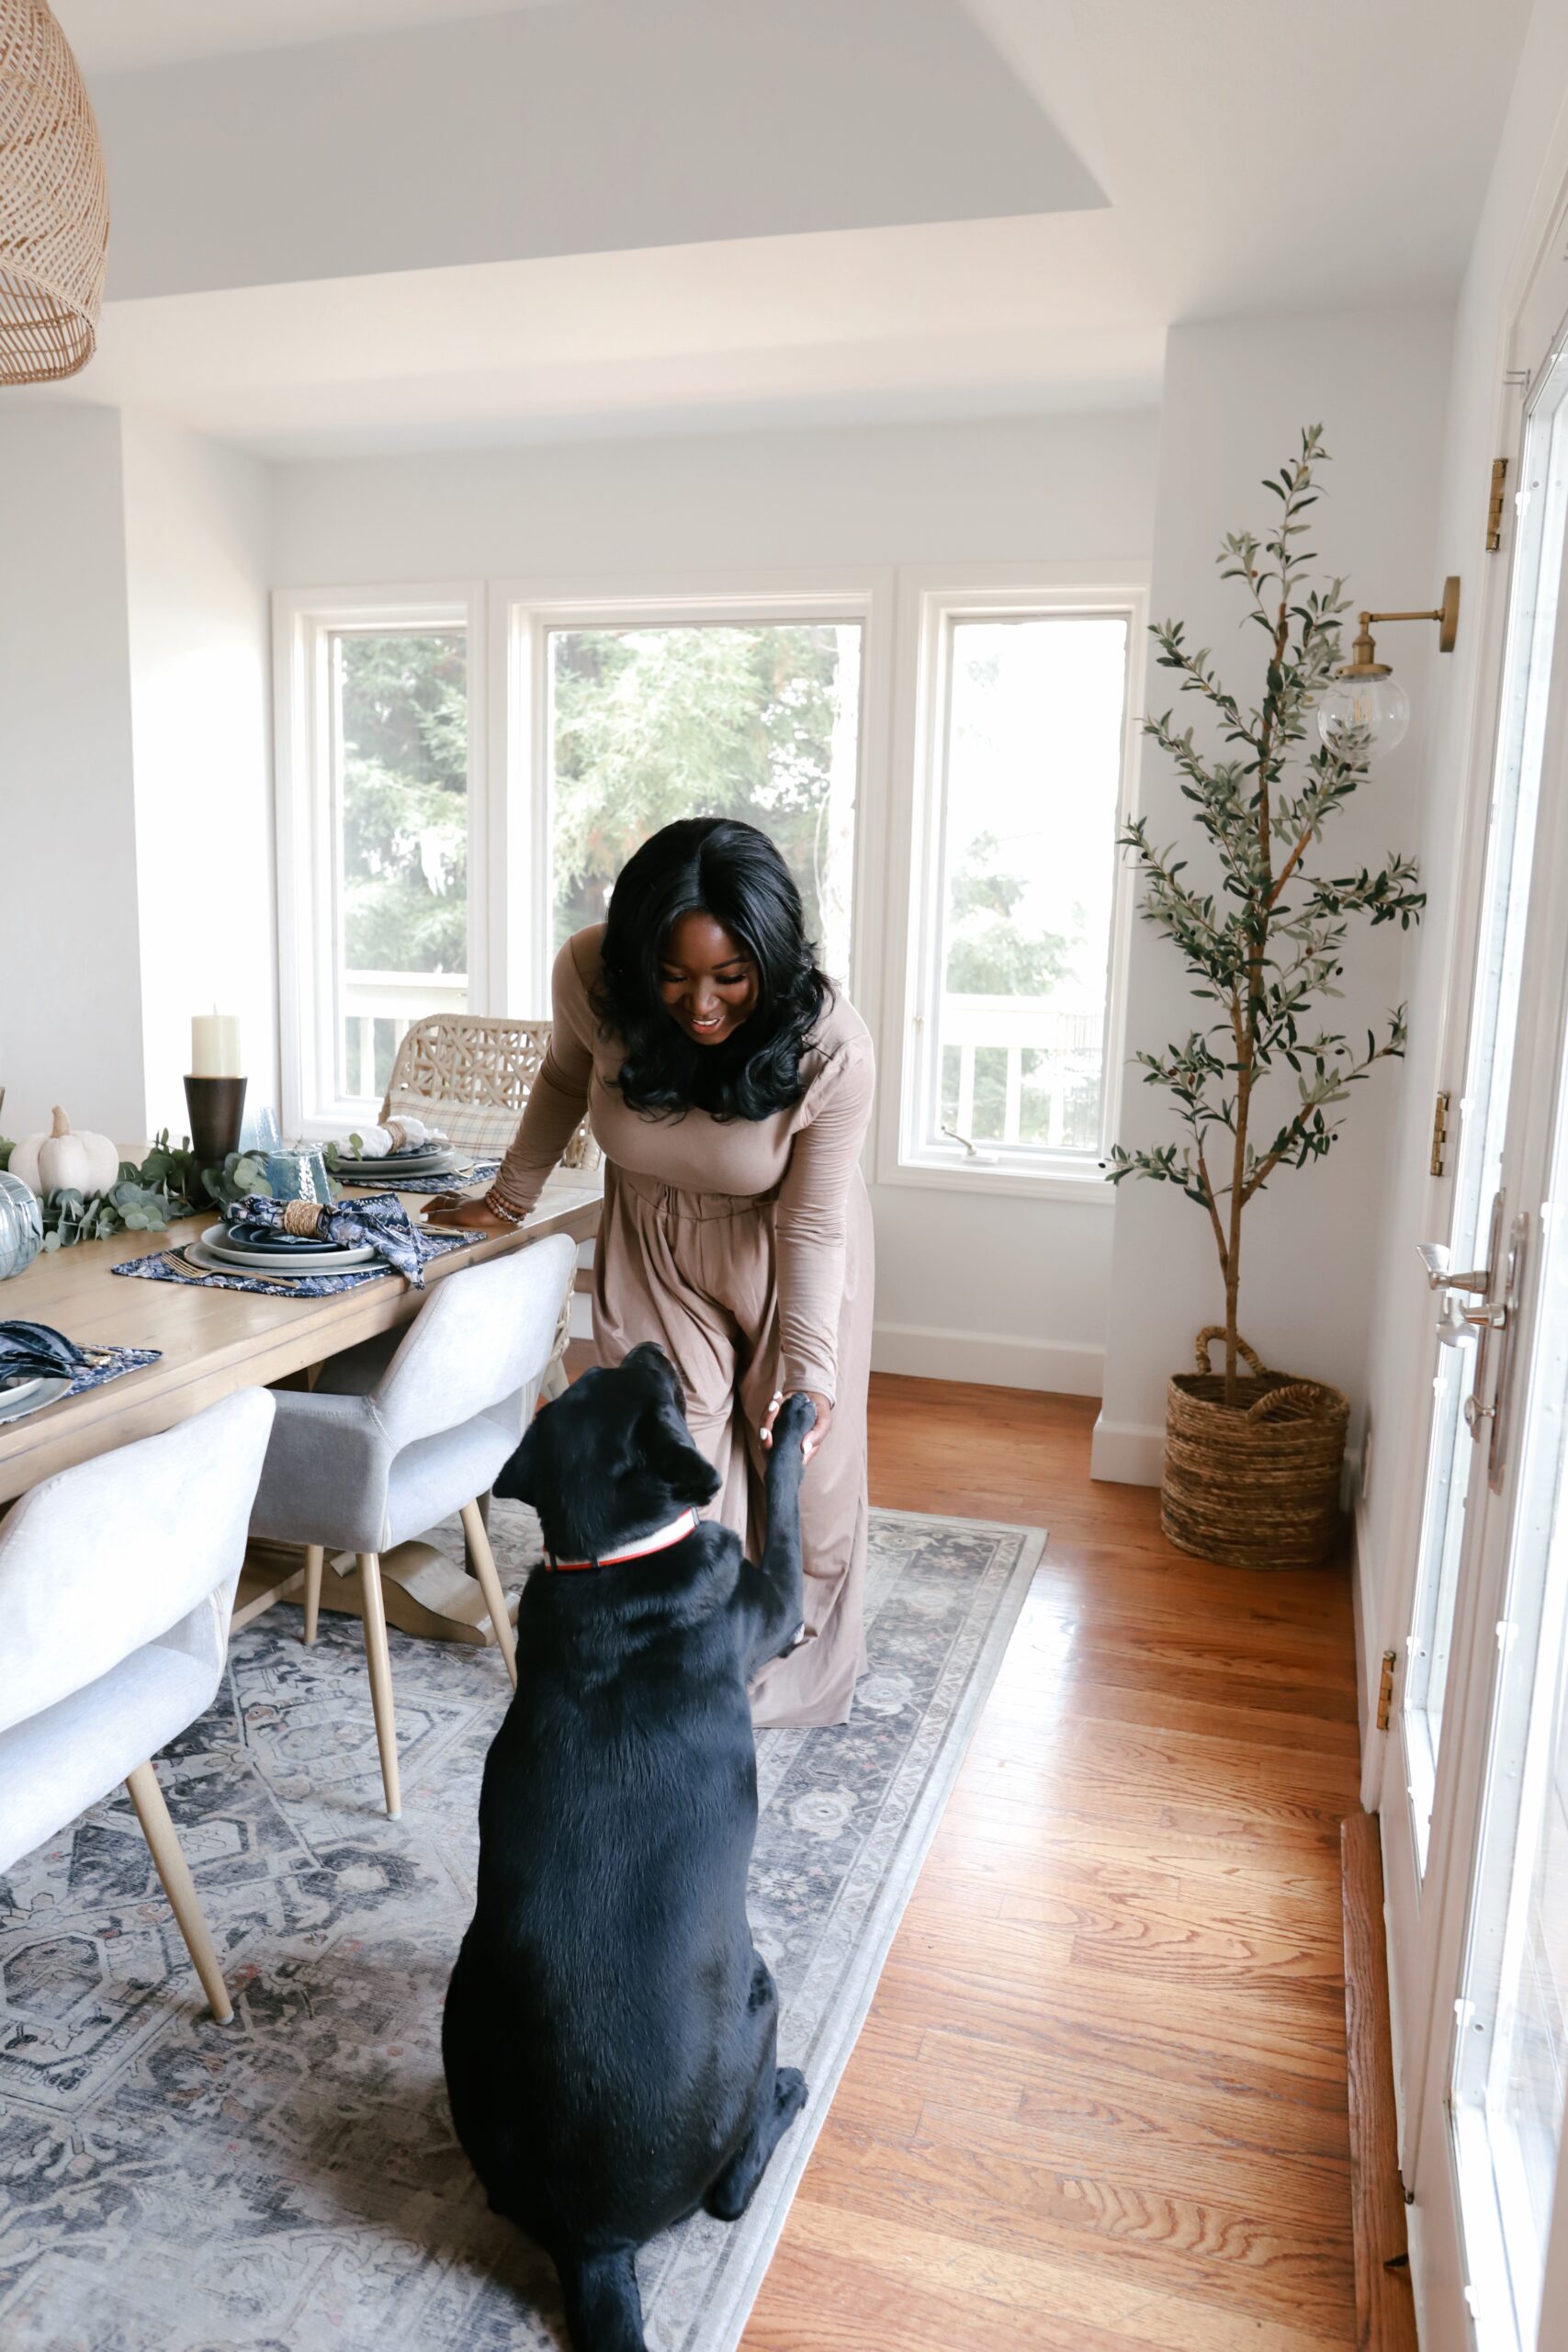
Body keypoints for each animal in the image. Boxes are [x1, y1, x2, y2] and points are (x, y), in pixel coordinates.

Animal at [439, 1345, 808, 2352]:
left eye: (584, 1383)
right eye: (665, 1397)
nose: (649, 1349)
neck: (608, 1556)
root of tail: (593, 2244)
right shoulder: (773, 1597)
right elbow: (784, 1512)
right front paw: (794, 1424)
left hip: (457, 2005)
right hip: (764, 1996)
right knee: (729, 2194)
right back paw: (790, 2093)